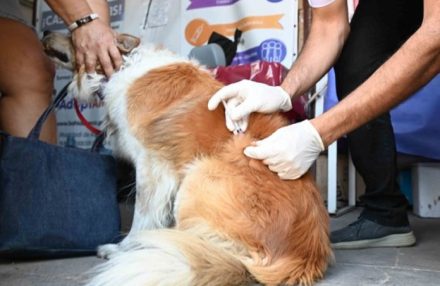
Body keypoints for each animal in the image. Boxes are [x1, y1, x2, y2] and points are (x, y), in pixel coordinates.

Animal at [43, 31, 332, 286]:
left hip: (198, 177)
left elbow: (142, 216)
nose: (45, 31)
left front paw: (123, 248)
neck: (122, 66)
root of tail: (305, 257)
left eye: (74, 36)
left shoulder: (152, 167)